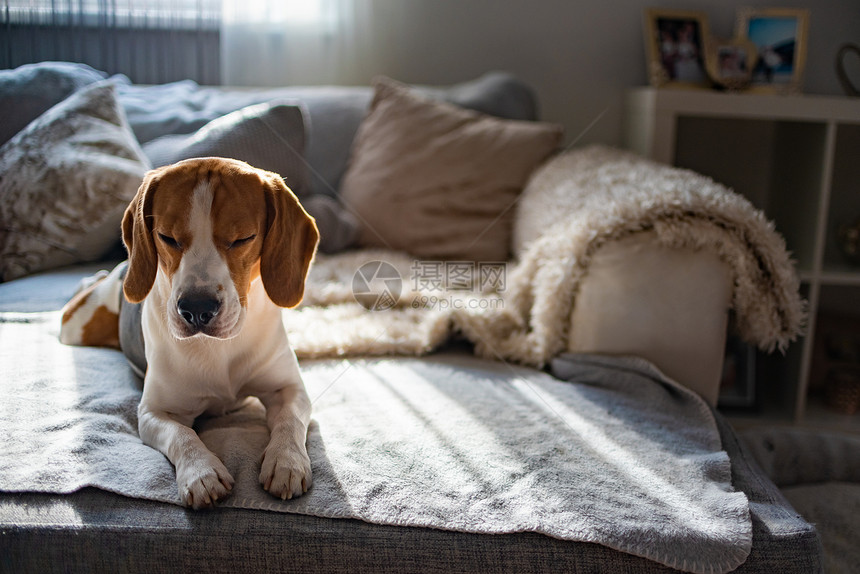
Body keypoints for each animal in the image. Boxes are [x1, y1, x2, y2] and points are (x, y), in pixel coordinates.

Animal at [59, 156, 320, 508]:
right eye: (167, 237)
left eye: (243, 238)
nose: (197, 309)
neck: (219, 349)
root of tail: (122, 270)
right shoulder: (154, 412)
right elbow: (182, 435)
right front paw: (202, 473)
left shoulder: (289, 389)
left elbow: (289, 421)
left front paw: (286, 461)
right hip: (76, 326)